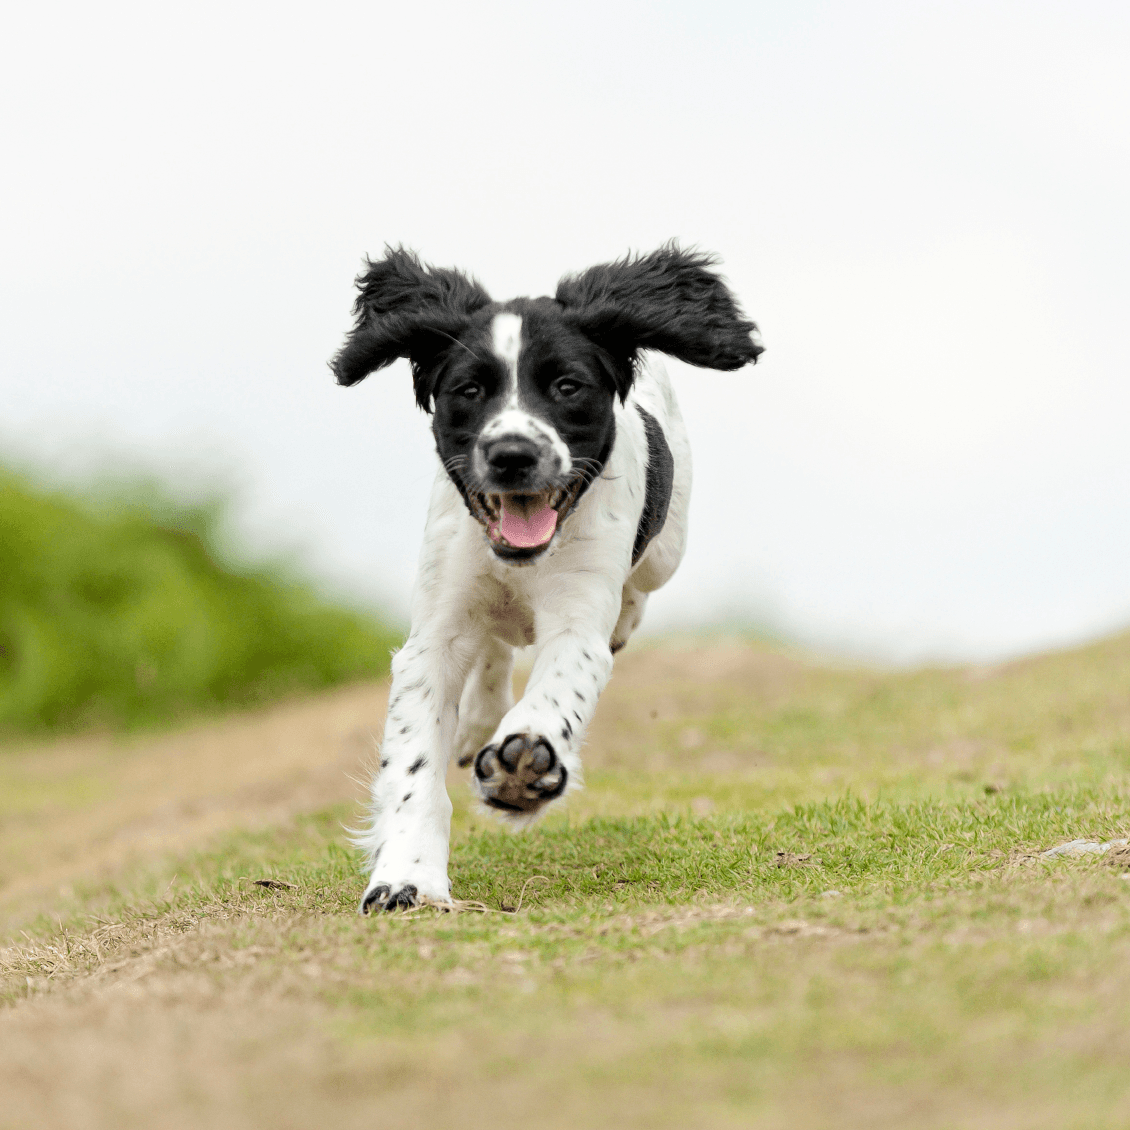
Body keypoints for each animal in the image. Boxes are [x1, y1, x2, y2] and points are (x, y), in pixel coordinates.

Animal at [331, 243, 763, 912]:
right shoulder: (435, 632)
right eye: (468, 390)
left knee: (634, 593)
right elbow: (412, 765)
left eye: (567, 386)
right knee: (493, 646)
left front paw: (526, 765)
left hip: (667, 551)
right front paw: (406, 877)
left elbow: (560, 687)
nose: (512, 454)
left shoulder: (578, 622)